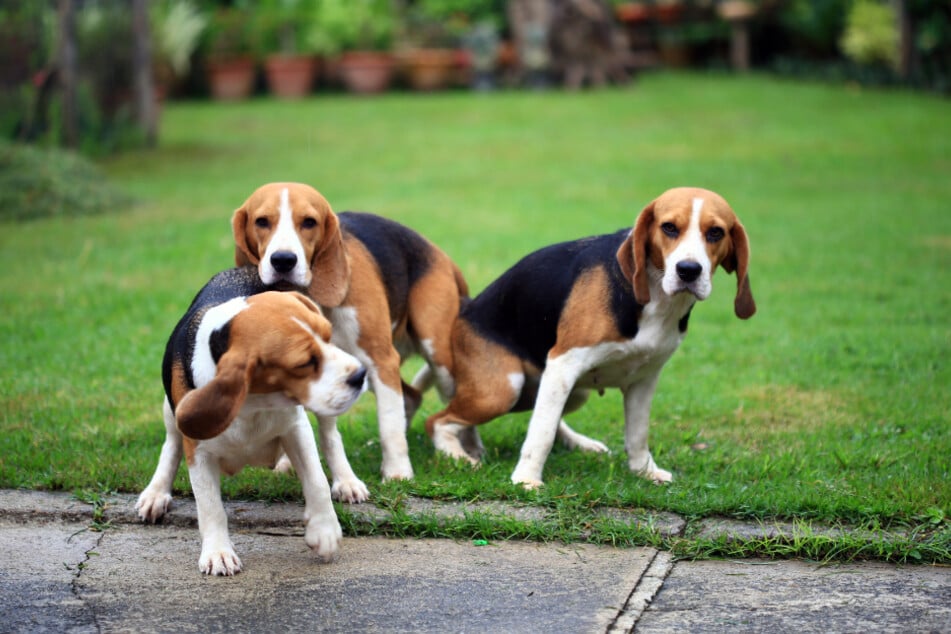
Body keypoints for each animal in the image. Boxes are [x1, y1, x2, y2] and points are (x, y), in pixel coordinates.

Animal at [136, 266, 370, 572]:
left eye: (329, 337)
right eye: (304, 363)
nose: (361, 374)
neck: (253, 404)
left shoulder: (296, 428)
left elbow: (317, 479)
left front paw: (325, 532)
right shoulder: (198, 450)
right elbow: (210, 505)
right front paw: (218, 553)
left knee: (330, 438)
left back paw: (346, 481)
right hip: (171, 409)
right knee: (171, 444)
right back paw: (156, 492)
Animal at [231, 183, 468, 478]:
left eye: (309, 222)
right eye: (261, 221)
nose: (283, 260)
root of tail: (441, 255)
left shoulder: (381, 359)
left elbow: (389, 424)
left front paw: (397, 472)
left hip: (438, 357)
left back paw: (463, 451)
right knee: (411, 397)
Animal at [428, 185, 756, 486]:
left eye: (716, 232)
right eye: (669, 227)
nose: (689, 270)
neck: (657, 299)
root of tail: (465, 311)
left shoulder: (645, 378)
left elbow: (637, 433)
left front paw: (644, 471)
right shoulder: (563, 364)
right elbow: (542, 432)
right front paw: (526, 479)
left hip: (571, 392)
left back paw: (579, 443)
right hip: (504, 390)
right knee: (439, 422)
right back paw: (457, 455)